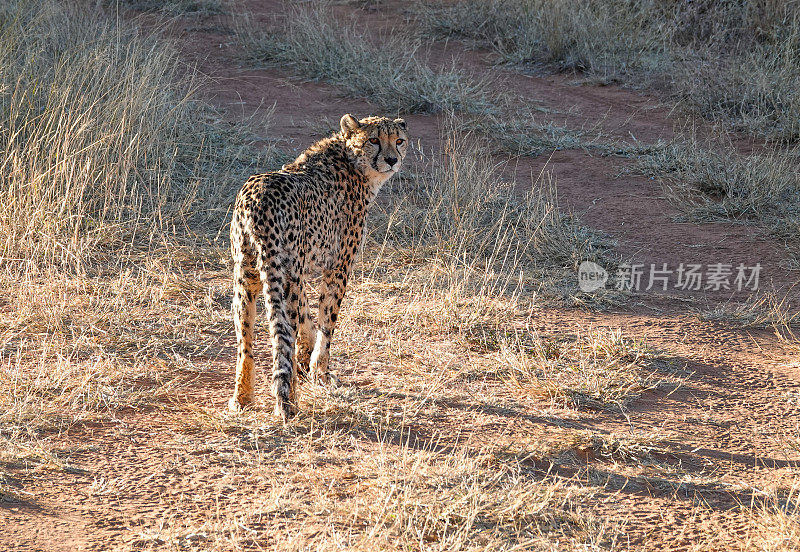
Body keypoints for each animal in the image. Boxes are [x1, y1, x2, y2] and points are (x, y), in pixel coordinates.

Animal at [228, 114, 410, 420]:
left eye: (399, 140)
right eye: (373, 140)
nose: (392, 159)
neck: (352, 161)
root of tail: (258, 196)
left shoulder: (296, 274)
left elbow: (306, 315)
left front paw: (306, 357)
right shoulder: (338, 266)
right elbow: (327, 320)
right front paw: (320, 370)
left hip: (248, 273)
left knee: (246, 341)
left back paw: (242, 397)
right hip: (276, 271)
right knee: (283, 335)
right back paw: (289, 400)